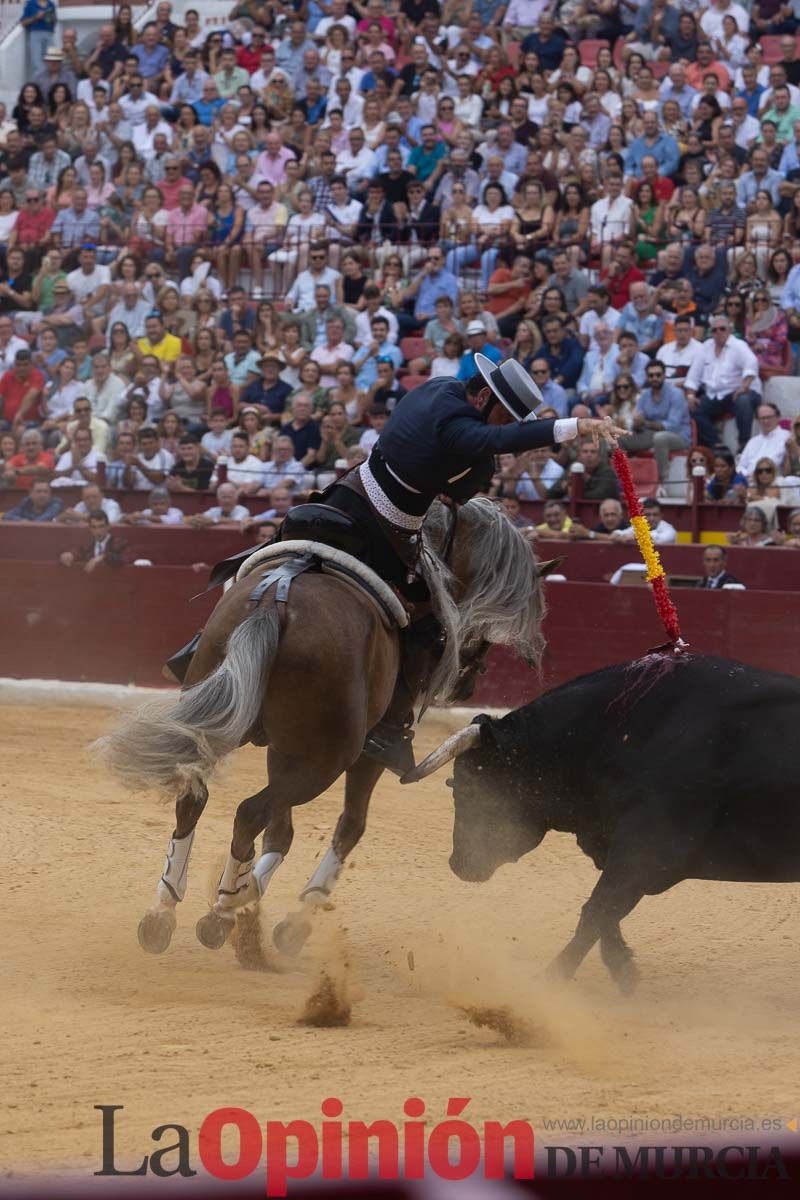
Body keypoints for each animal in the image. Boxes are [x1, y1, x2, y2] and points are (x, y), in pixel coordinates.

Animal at [98, 494, 551, 955]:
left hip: (222, 720)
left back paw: (164, 912)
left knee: (195, 797)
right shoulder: (366, 754)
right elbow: (349, 826)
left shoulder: (282, 750)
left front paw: (250, 897)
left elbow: (281, 831)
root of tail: (274, 602)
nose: (467, 686)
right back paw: (219, 913)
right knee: (250, 811)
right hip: (327, 760)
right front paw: (286, 920)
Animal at [407, 657, 800, 993]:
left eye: (469, 787)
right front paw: (625, 971)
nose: (458, 863)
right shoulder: (628, 855)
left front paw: (550, 982)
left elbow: (595, 911)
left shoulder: (647, 848)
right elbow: (606, 912)